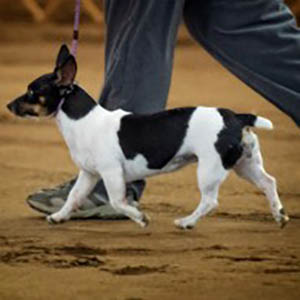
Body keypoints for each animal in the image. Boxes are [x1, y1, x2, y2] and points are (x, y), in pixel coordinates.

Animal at [6, 44, 288, 229]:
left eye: (31, 92)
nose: (8, 105)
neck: (84, 121)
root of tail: (236, 117)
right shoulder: (89, 174)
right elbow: (74, 196)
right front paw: (59, 216)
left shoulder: (111, 173)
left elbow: (118, 202)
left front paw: (139, 217)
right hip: (245, 164)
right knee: (268, 183)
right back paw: (279, 215)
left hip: (210, 169)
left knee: (210, 201)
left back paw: (186, 222)